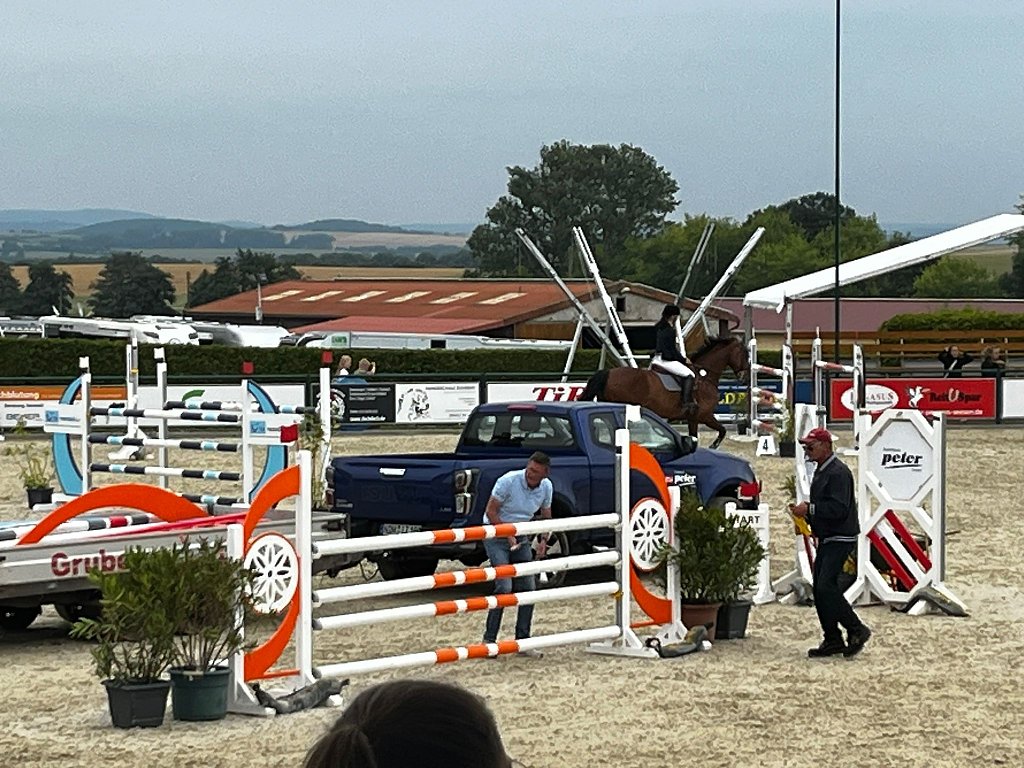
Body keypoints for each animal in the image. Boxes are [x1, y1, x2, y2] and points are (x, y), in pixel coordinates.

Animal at [577, 336, 749, 449]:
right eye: (745, 354)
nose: (746, 378)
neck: (704, 376)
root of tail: (608, 373)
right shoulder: (704, 415)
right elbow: (722, 430)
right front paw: (713, 446)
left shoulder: (693, 418)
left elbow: (700, 435)